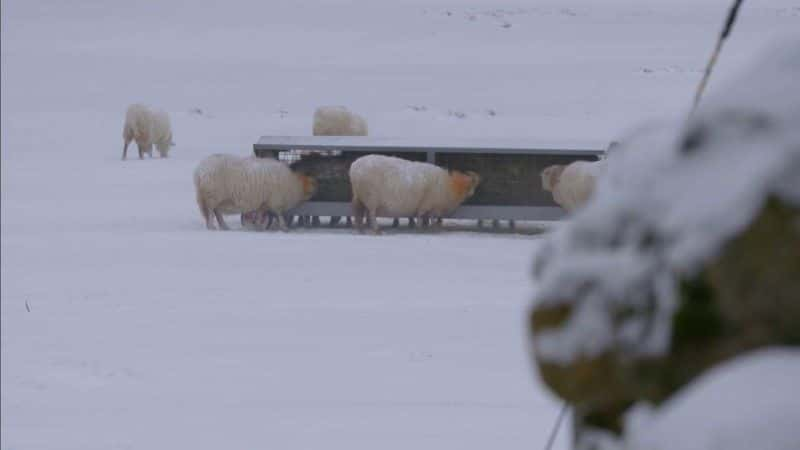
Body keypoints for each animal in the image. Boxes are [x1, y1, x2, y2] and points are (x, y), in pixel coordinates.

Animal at [346, 153, 478, 234]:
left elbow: (428, 217)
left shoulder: (431, 205)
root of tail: (354, 166)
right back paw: (376, 230)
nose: (472, 193)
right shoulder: (428, 204)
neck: (450, 185)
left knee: (359, 213)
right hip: (371, 197)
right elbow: (424, 216)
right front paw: (424, 228)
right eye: (473, 185)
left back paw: (361, 229)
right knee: (371, 214)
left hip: (359, 196)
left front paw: (427, 226)